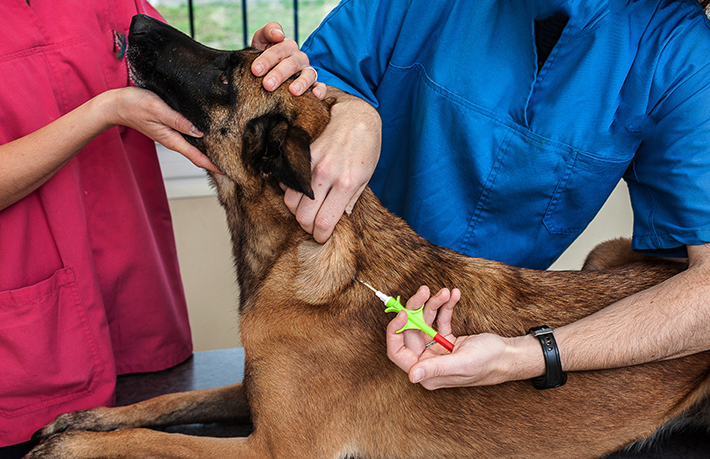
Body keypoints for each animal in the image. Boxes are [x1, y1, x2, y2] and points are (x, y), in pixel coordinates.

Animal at [25, 14, 710, 459]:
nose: (137, 22)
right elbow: (164, 403)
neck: (302, 256)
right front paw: (87, 416)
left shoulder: (270, 450)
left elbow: (150, 440)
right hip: (606, 252)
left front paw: (75, 444)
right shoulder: (250, 394)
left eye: (227, 72)